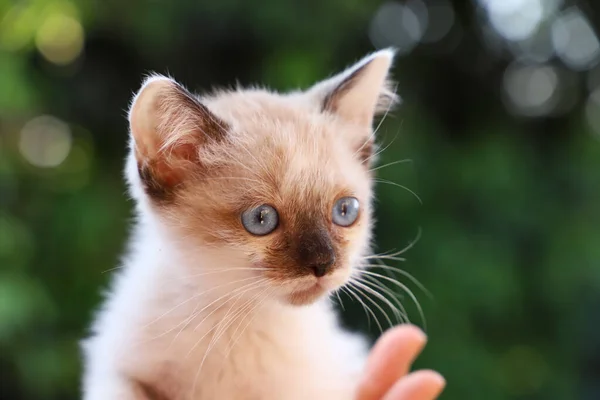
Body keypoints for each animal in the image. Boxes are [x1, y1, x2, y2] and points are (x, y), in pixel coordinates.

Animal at [81, 48, 398, 398]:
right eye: (261, 219)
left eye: (344, 211)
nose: (324, 264)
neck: (238, 321)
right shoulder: (117, 370)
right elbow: (123, 390)